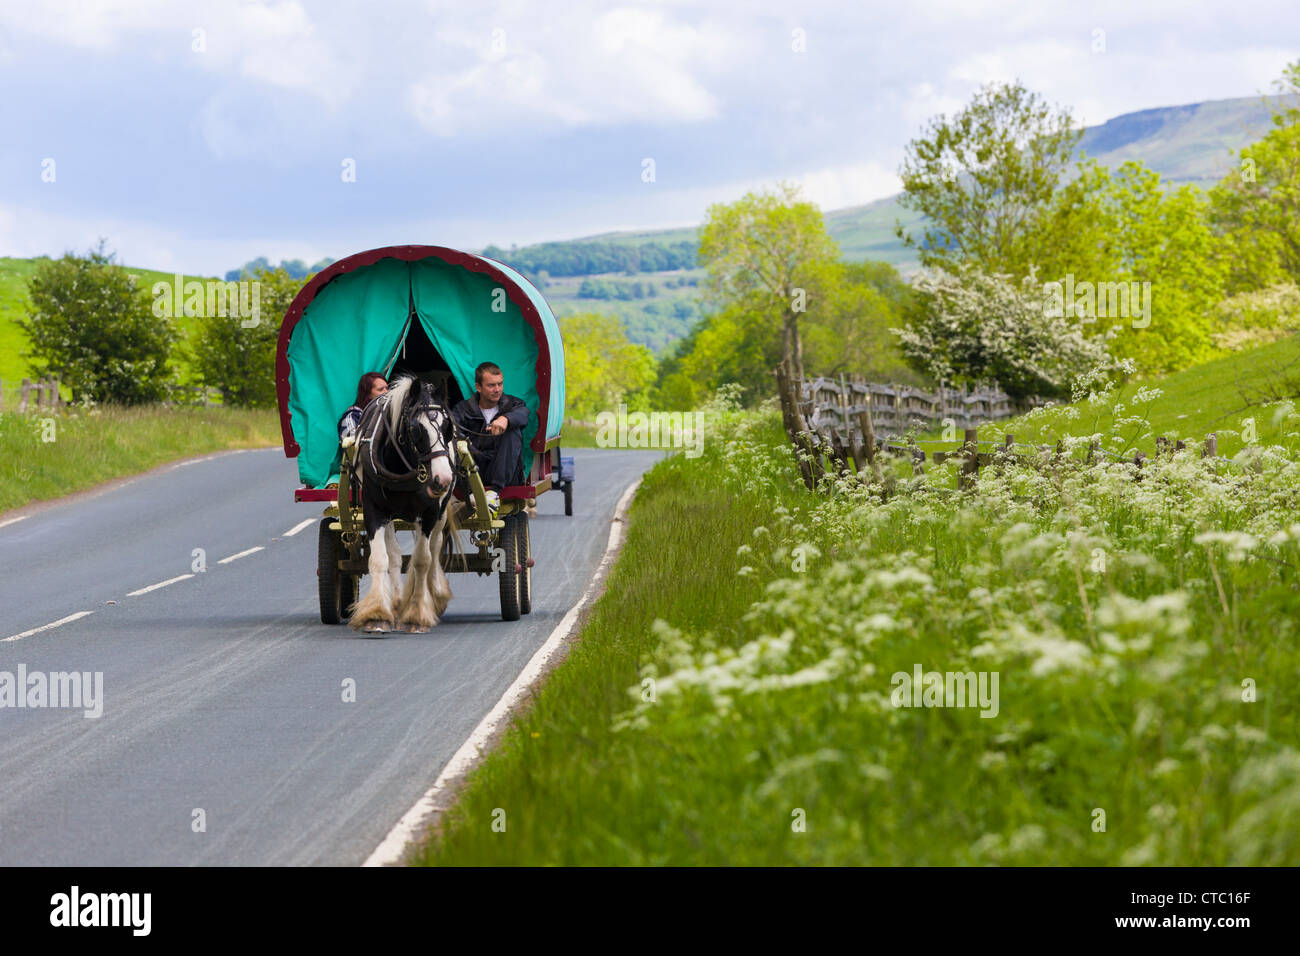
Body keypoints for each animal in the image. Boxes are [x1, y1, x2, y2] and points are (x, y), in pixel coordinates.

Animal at [348, 374, 460, 634]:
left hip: (439, 513)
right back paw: (398, 602)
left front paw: (418, 613)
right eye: (416, 429)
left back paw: (434, 593)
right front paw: (377, 614)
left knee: (434, 548)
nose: (442, 478)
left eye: (447, 428)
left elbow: (422, 560)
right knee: (395, 555)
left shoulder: (429, 513)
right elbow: (380, 558)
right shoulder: (374, 511)